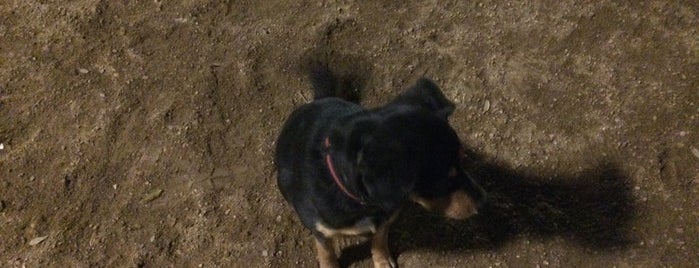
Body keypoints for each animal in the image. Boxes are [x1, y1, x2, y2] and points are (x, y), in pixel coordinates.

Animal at [274, 65, 486, 268]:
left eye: (462, 158)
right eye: (442, 180)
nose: (484, 200)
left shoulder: (386, 218)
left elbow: (379, 240)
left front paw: (382, 260)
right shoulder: (321, 232)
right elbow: (326, 254)